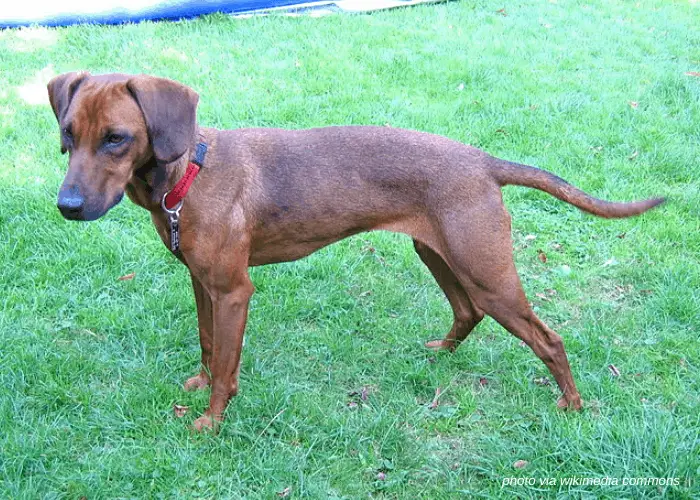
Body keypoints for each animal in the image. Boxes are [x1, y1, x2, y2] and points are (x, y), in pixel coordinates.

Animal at [47, 72, 660, 432]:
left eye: (117, 138)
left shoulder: (234, 291)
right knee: (467, 313)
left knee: (548, 339)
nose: (67, 206)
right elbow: (207, 346)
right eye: (67, 134)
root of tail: (484, 161)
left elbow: (225, 365)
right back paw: (441, 353)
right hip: (437, 254)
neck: (188, 176)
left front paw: (212, 422)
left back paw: (573, 407)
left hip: (487, 272)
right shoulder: (202, 283)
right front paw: (199, 389)